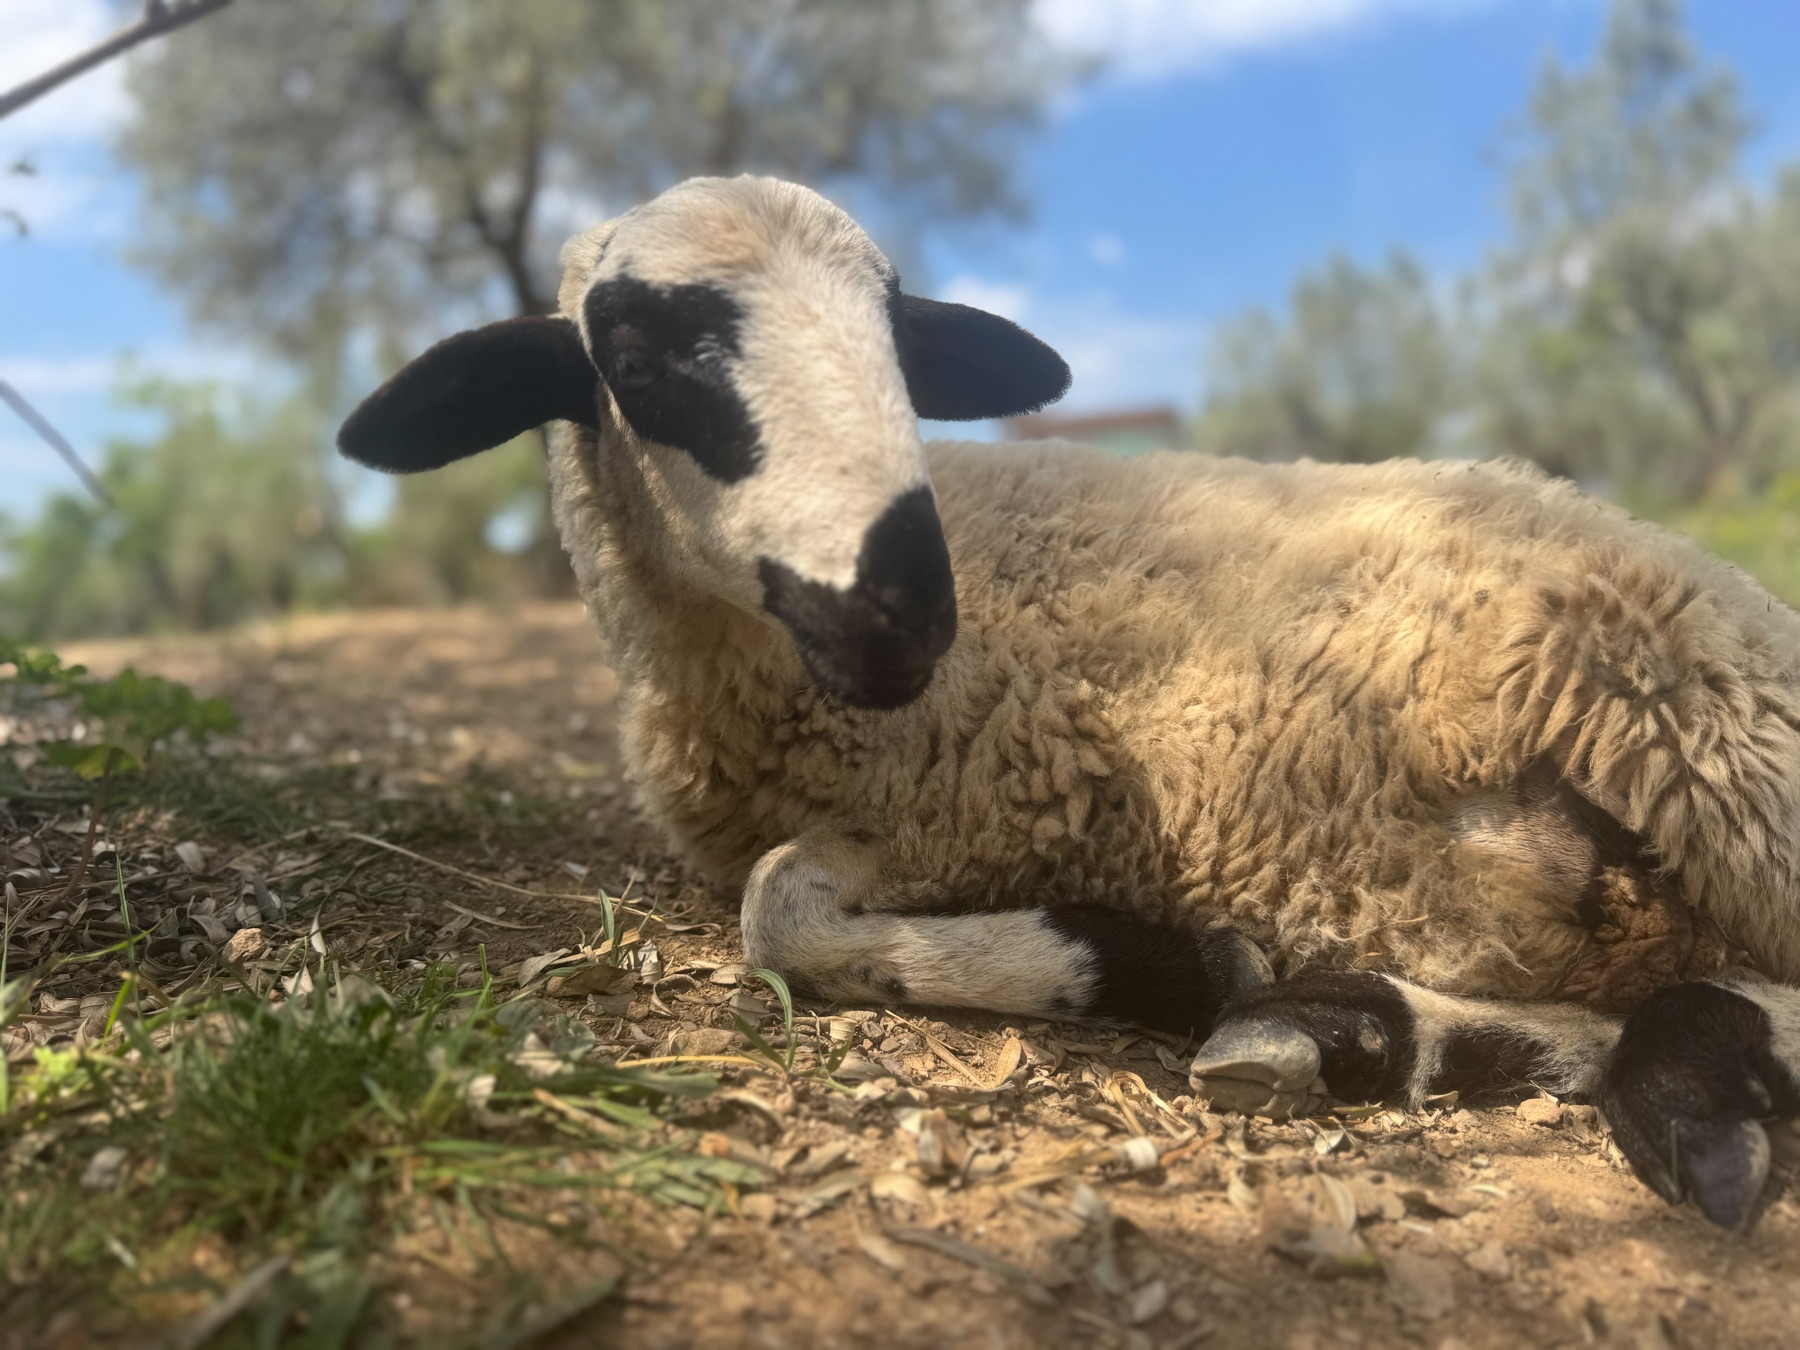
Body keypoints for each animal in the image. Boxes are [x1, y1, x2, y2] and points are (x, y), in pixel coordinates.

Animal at [339, 174, 1800, 1230]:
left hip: (1713, 736)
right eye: (636, 360)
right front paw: (1216, 972)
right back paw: (1359, 1034)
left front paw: (1157, 959)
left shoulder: (981, 806)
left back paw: (1676, 1098)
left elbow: (777, 908)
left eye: (898, 347)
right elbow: (778, 900)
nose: (906, 607)